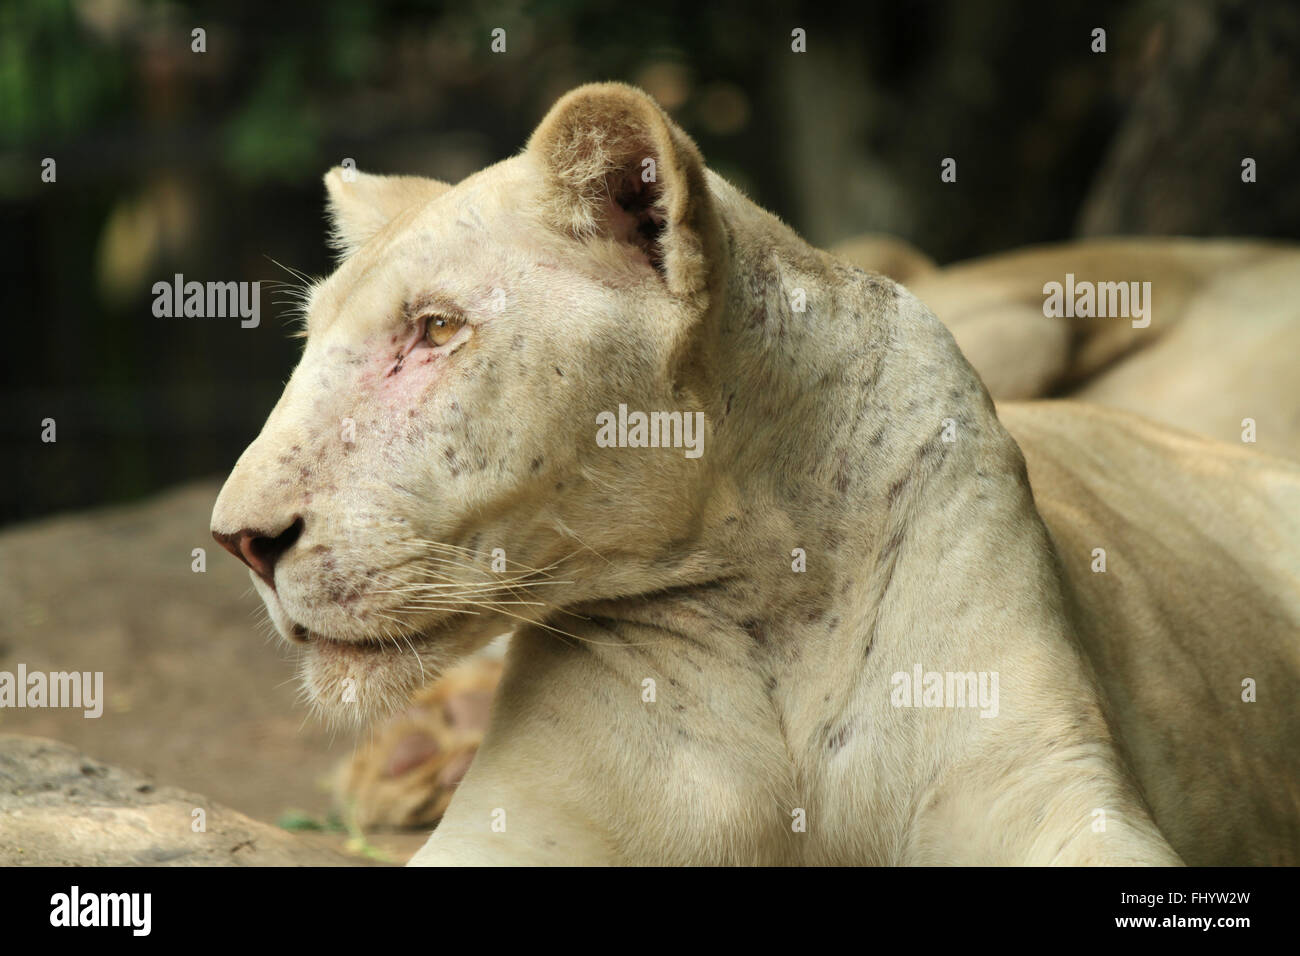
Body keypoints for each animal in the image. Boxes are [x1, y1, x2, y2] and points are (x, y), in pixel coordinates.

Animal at [213, 82, 1300, 868]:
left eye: (435, 328)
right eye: (311, 341)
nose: (238, 543)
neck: (766, 597)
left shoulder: (1046, 788)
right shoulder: (519, 827)